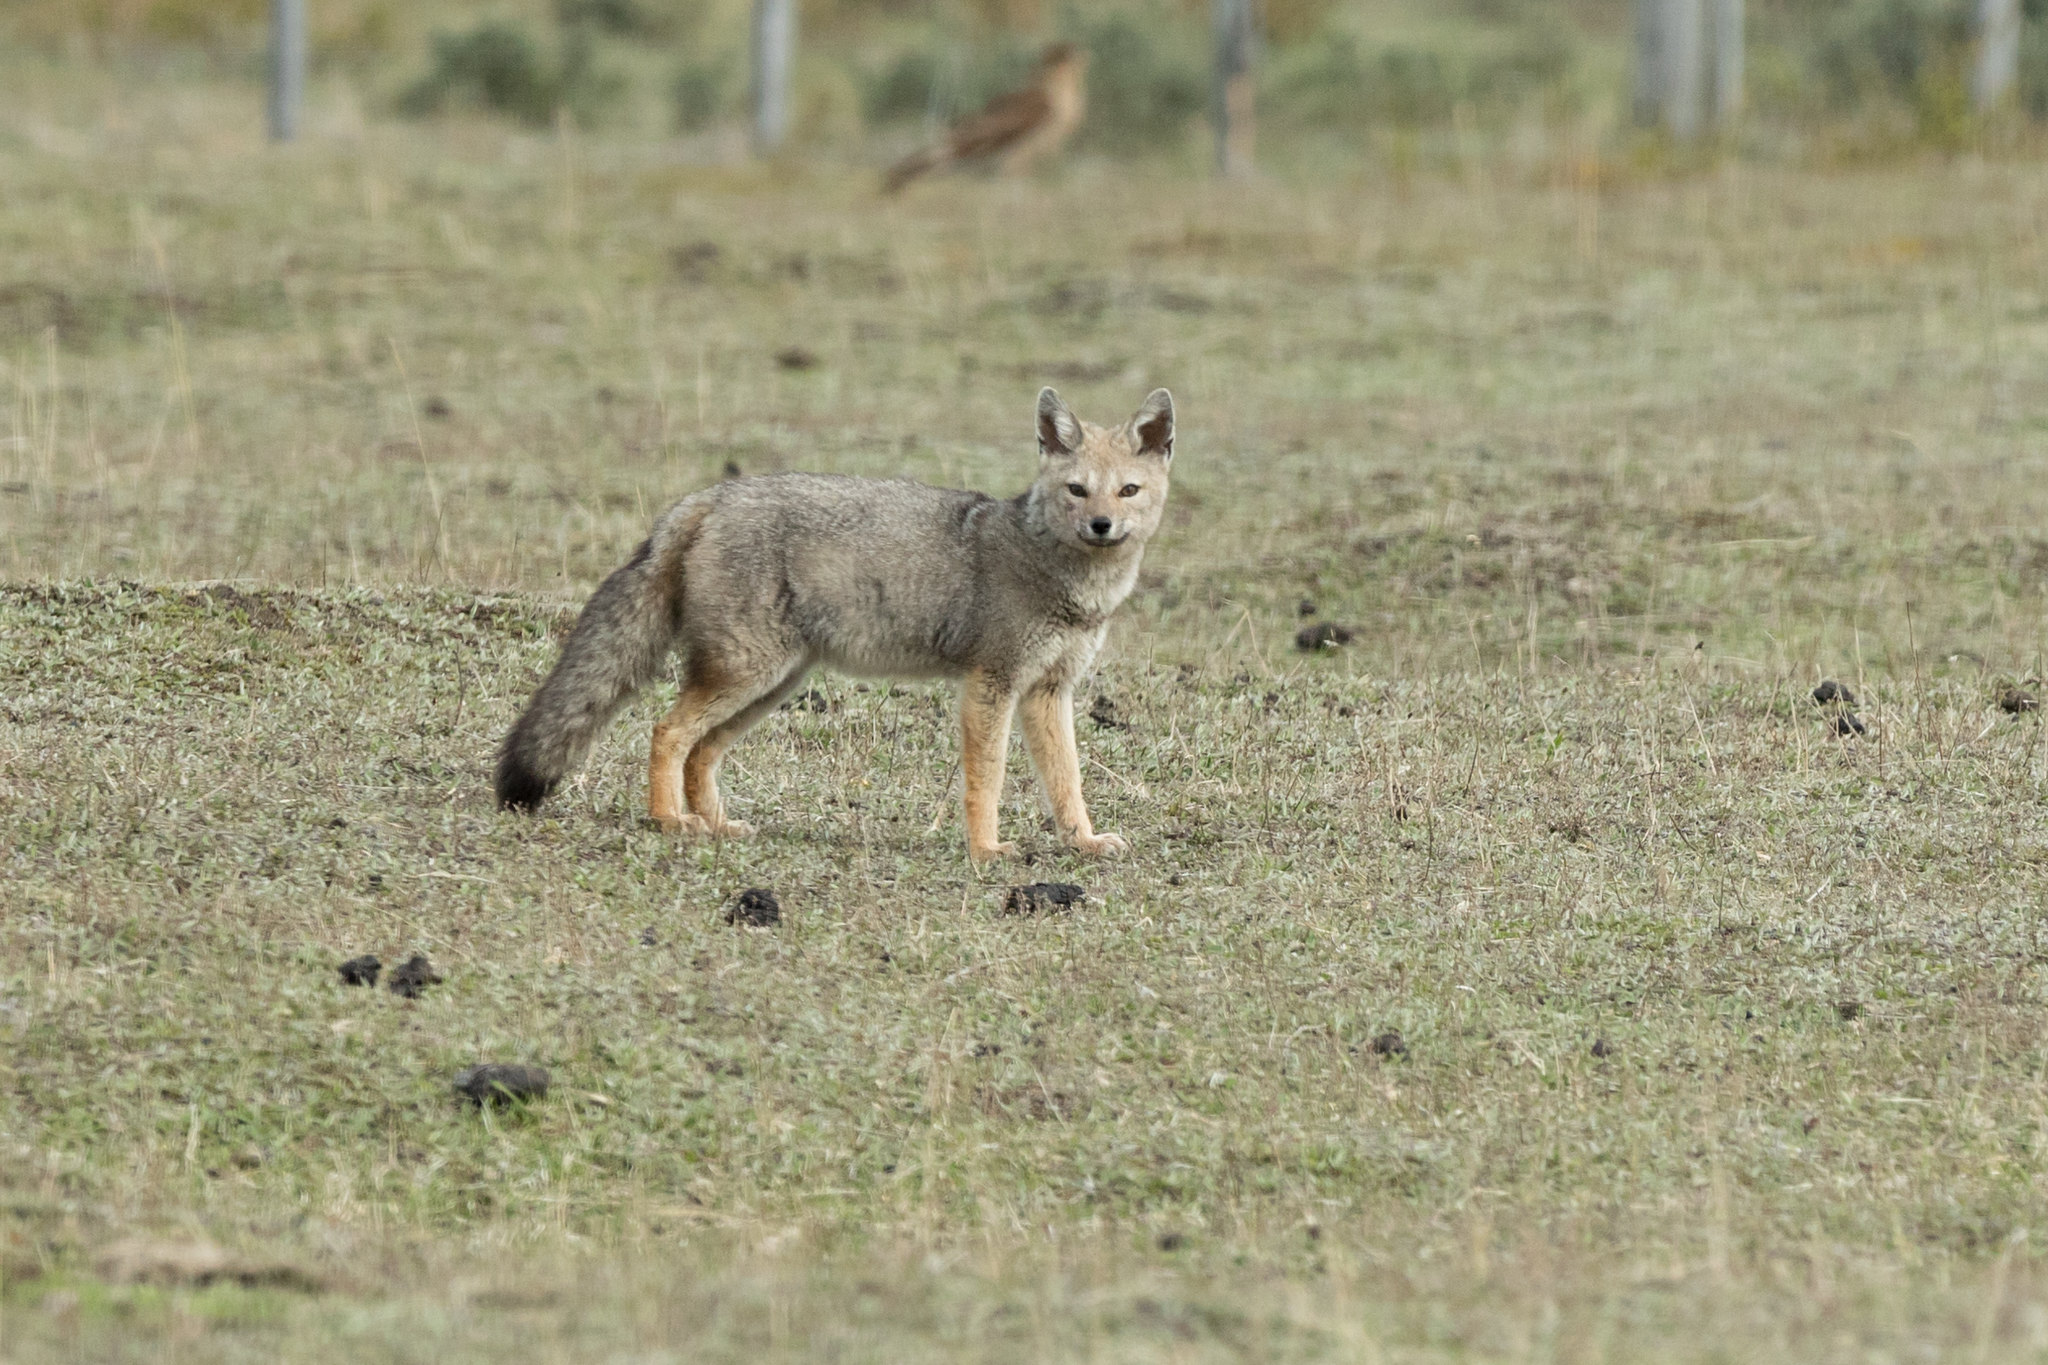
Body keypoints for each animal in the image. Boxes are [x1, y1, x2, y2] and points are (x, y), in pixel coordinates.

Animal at [494, 386, 1175, 862]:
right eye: (1077, 490)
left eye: (1128, 491)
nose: (1102, 526)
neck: (1066, 582)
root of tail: (707, 497)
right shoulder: (991, 684)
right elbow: (987, 779)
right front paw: (985, 851)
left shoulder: (1048, 691)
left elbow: (1067, 782)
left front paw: (1082, 842)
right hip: (745, 676)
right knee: (666, 731)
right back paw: (668, 821)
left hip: (770, 686)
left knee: (699, 751)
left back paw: (714, 824)